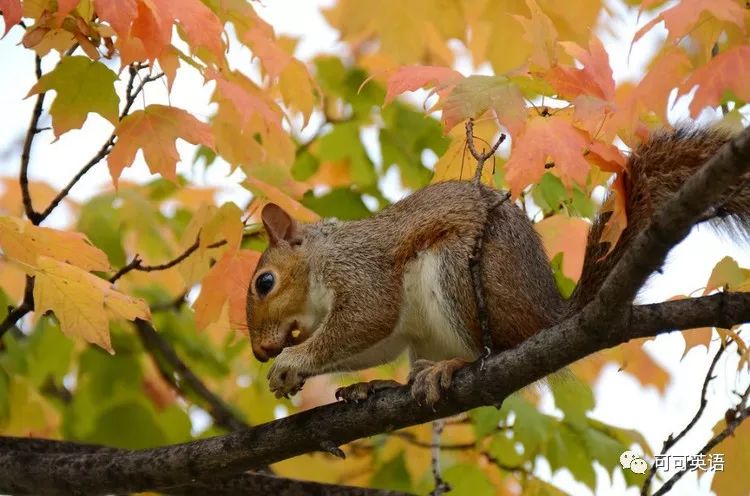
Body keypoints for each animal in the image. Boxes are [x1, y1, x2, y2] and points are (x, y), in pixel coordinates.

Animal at [245, 126, 748, 404]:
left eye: (264, 282)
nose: (261, 352)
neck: (320, 259)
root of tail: (548, 315)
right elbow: (376, 342)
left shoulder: (360, 270)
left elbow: (369, 316)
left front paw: (290, 363)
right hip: (428, 331)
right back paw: (382, 386)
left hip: (459, 274)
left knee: (494, 349)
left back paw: (452, 367)